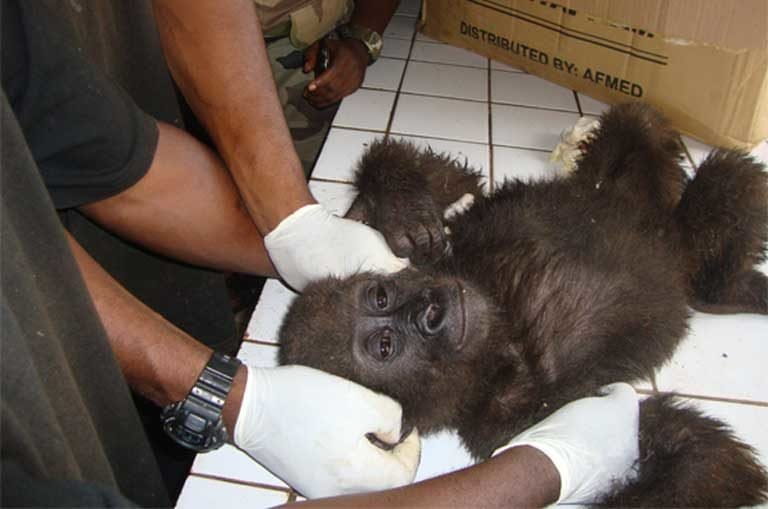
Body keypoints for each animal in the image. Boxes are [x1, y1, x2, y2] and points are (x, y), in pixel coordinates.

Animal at [278, 102, 768, 504]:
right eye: (385, 346)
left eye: (381, 295)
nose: (431, 311)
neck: (498, 339)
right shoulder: (517, 421)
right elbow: (693, 450)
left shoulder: (440, 254)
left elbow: (444, 178)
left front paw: (399, 206)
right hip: (683, 249)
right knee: (718, 194)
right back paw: (720, 289)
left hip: (631, 194)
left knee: (640, 125)